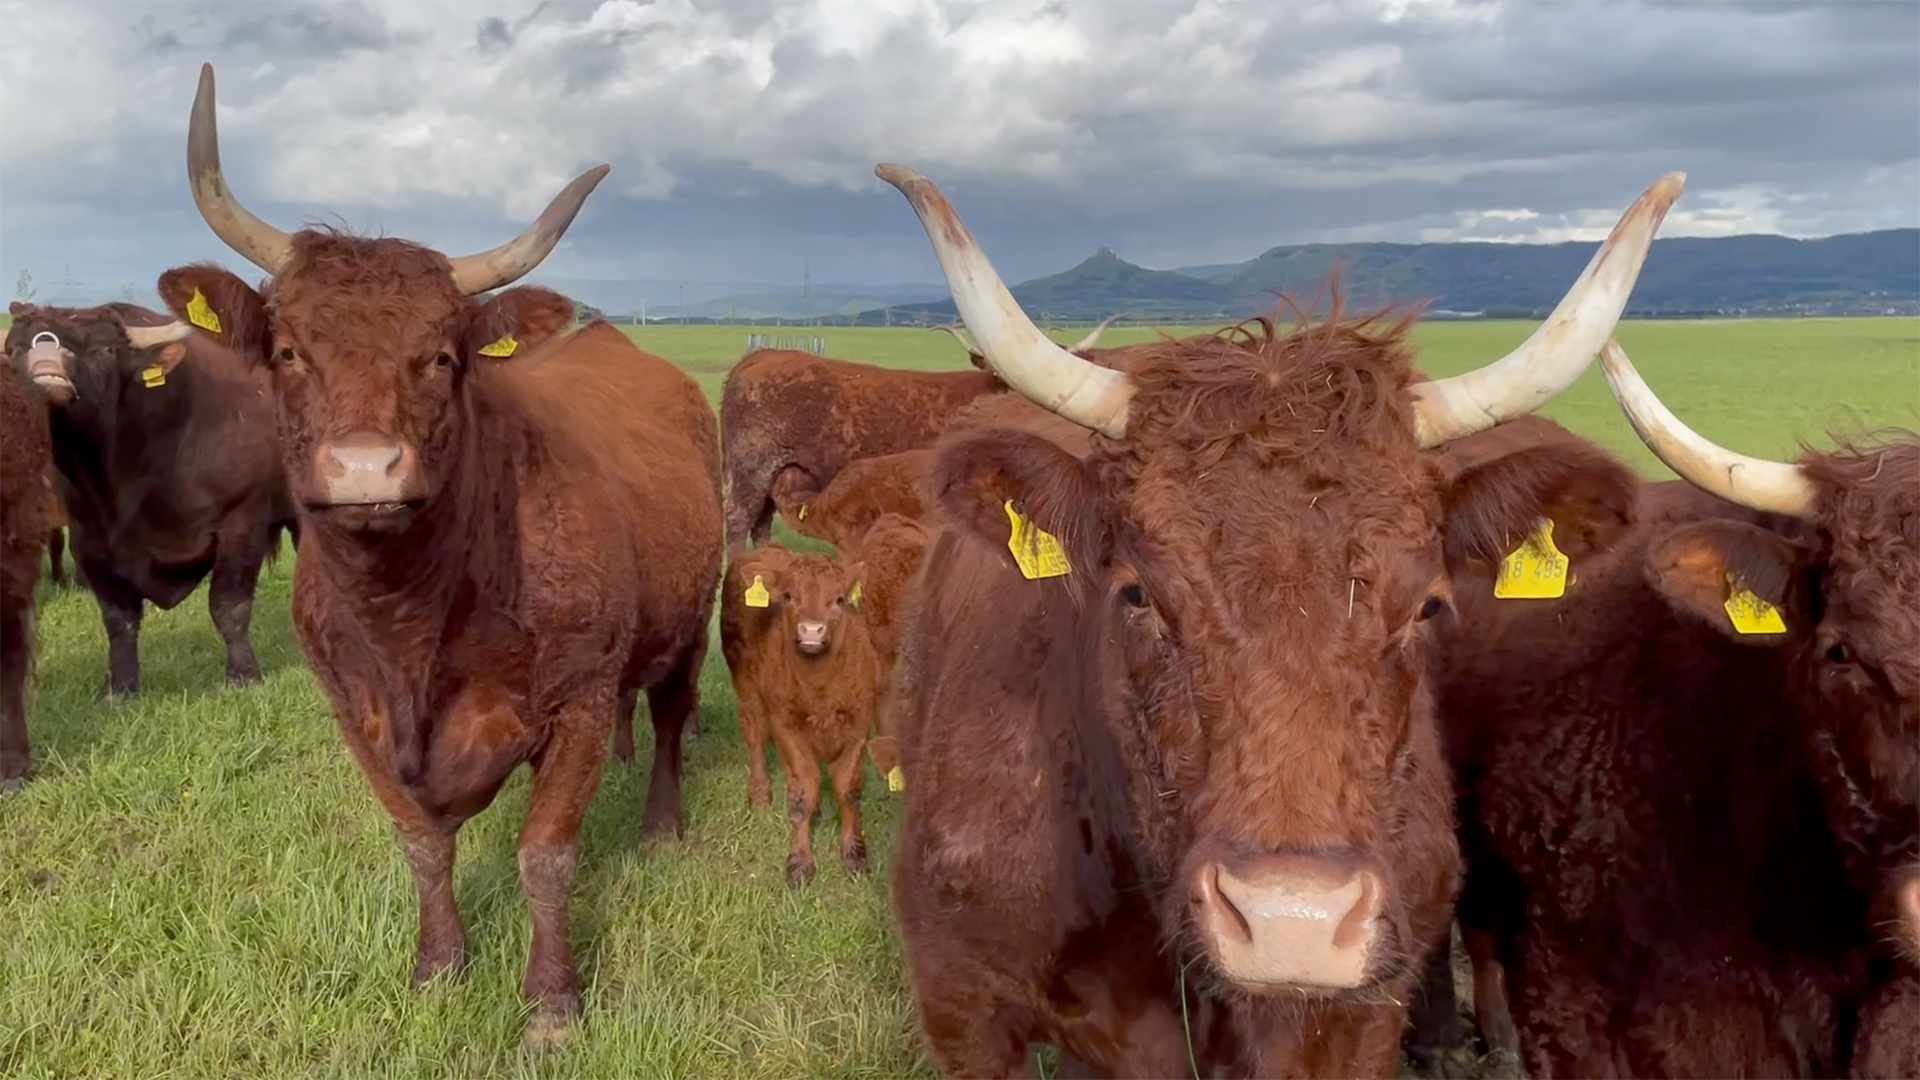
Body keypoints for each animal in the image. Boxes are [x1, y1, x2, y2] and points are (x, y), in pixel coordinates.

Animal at [5, 297, 293, 691]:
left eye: (107, 349)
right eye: (14, 349)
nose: (46, 359)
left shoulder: (241, 524)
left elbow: (229, 606)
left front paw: (243, 674)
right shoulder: (90, 543)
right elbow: (118, 620)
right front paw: (120, 687)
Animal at [157, 62, 721, 1037]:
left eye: (442, 358)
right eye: (287, 350)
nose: (364, 468)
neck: (413, 621)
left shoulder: (575, 699)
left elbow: (546, 855)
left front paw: (553, 1003)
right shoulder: (355, 713)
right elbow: (421, 843)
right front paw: (439, 968)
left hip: (693, 614)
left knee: (670, 714)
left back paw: (657, 822)